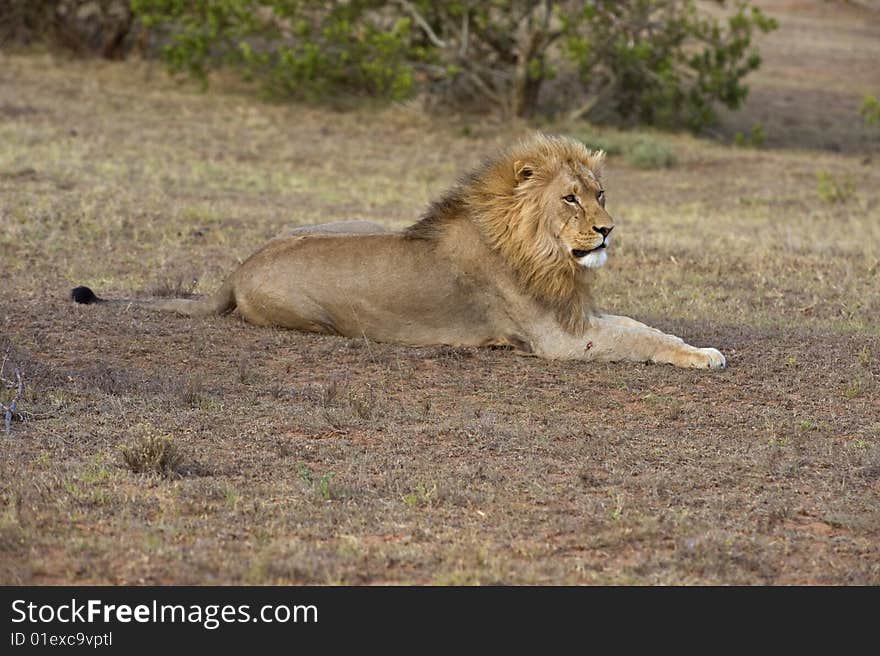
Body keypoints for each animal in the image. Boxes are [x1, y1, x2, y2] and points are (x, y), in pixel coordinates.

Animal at [72, 133, 724, 368]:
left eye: (600, 193)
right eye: (570, 198)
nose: (609, 230)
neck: (543, 252)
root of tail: (238, 268)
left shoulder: (577, 315)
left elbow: (643, 327)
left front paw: (698, 346)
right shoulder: (560, 340)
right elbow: (637, 340)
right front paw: (703, 357)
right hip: (317, 318)